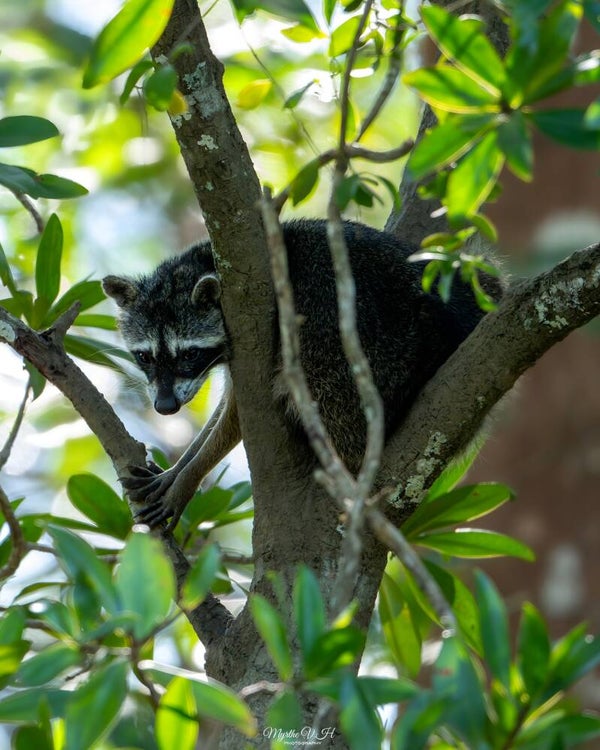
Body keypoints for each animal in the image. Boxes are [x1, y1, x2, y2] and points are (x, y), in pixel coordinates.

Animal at [103, 219, 502, 528]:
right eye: (145, 357)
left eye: (188, 354)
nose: (166, 407)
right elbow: (222, 411)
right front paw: (179, 467)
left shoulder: (255, 329)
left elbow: (237, 415)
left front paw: (189, 475)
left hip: (358, 349)